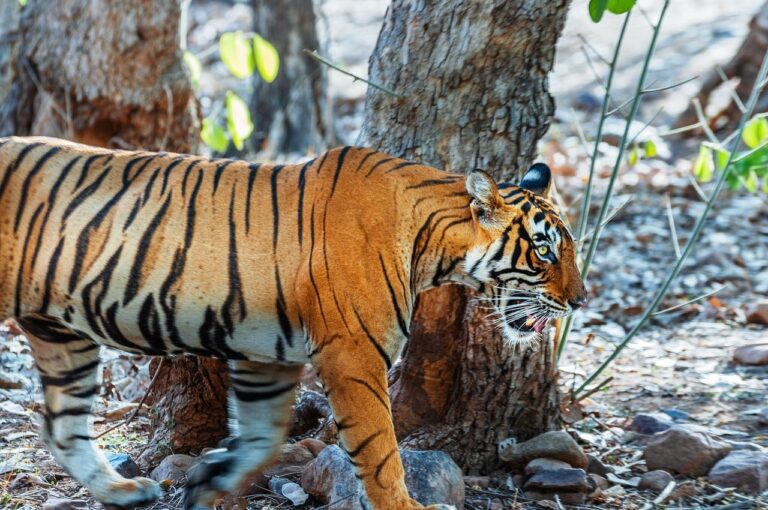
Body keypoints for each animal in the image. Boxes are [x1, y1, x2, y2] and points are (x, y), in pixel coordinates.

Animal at [0, 136, 586, 510]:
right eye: (543, 250)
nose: (580, 301)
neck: (433, 244)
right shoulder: (353, 355)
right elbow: (380, 450)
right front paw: (405, 507)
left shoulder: (266, 354)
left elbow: (262, 437)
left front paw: (208, 480)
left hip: (62, 336)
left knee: (62, 426)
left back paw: (123, 492)